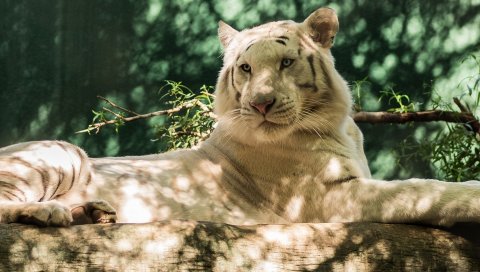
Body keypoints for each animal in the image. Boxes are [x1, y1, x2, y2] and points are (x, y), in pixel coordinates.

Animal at [0, 7, 480, 226]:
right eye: (246, 68)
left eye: (286, 63)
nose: (262, 103)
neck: (338, 125)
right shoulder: (328, 197)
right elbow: (419, 189)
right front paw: (470, 195)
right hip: (61, 150)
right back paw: (48, 213)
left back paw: (93, 212)